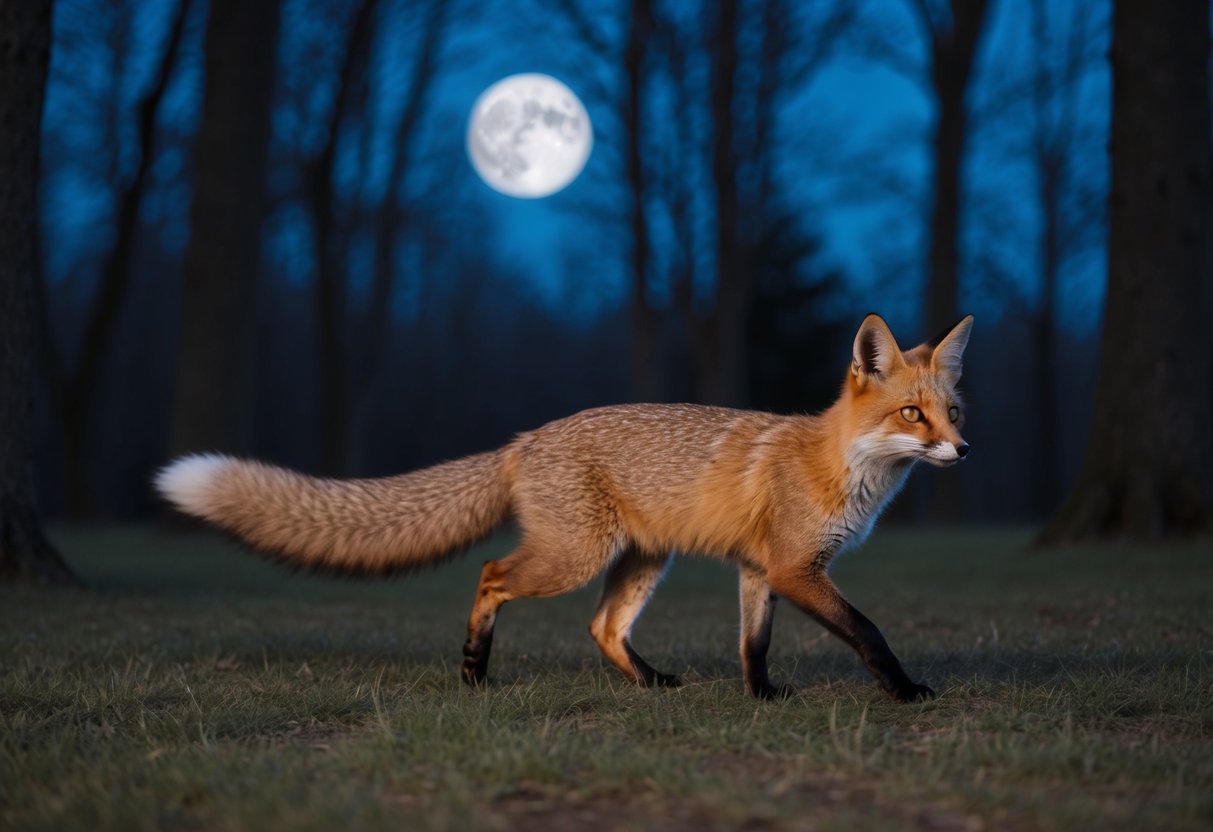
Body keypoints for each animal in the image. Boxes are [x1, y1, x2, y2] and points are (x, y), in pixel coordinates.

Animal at [155, 312, 972, 702]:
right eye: (911, 415)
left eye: (953, 411)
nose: (964, 452)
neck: (839, 465)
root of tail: (523, 439)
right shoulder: (796, 568)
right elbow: (868, 632)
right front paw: (905, 692)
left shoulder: (759, 570)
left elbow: (754, 644)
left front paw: (762, 696)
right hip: (574, 557)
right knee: (490, 574)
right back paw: (474, 669)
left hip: (640, 560)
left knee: (602, 628)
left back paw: (648, 683)